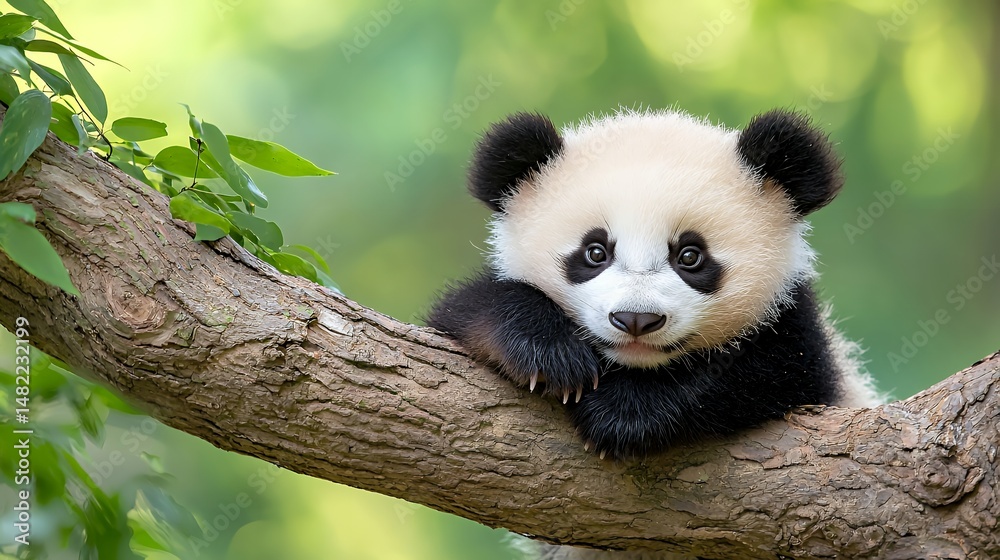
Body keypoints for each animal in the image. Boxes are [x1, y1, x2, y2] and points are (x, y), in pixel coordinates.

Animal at [428, 108, 881, 461]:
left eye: (690, 256)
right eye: (595, 252)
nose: (635, 320)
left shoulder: (806, 348)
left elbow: (762, 369)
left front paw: (621, 412)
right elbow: (467, 312)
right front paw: (551, 355)